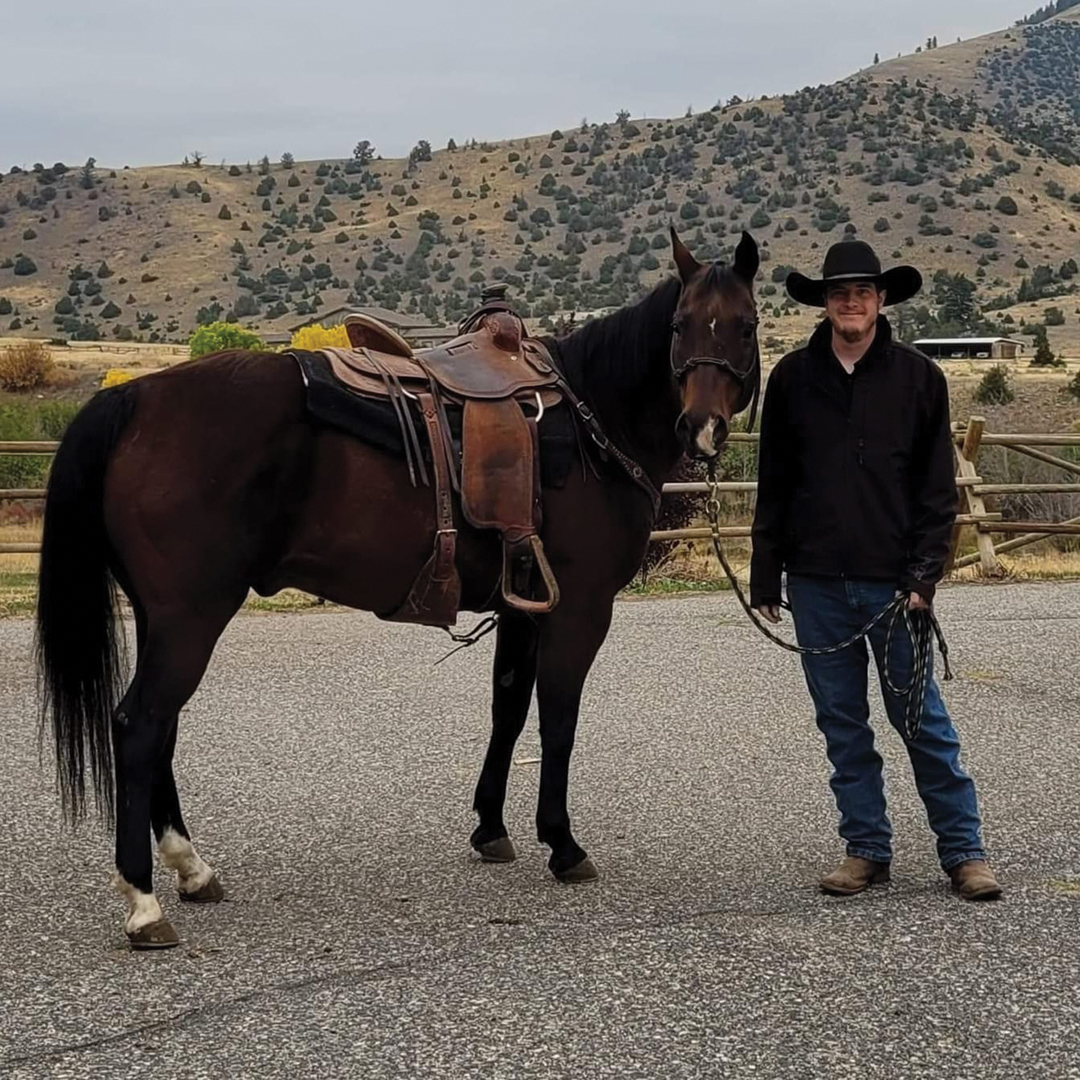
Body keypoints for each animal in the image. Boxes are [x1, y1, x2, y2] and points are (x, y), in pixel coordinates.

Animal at [36, 228, 761, 948]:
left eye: (746, 325)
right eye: (680, 325)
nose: (701, 425)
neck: (591, 417)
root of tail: (133, 399)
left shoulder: (523, 607)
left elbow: (507, 711)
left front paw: (490, 828)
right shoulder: (579, 608)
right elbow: (558, 719)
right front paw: (561, 843)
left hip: (167, 618)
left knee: (163, 726)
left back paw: (191, 868)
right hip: (191, 616)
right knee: (140, 725)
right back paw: (144, 902)